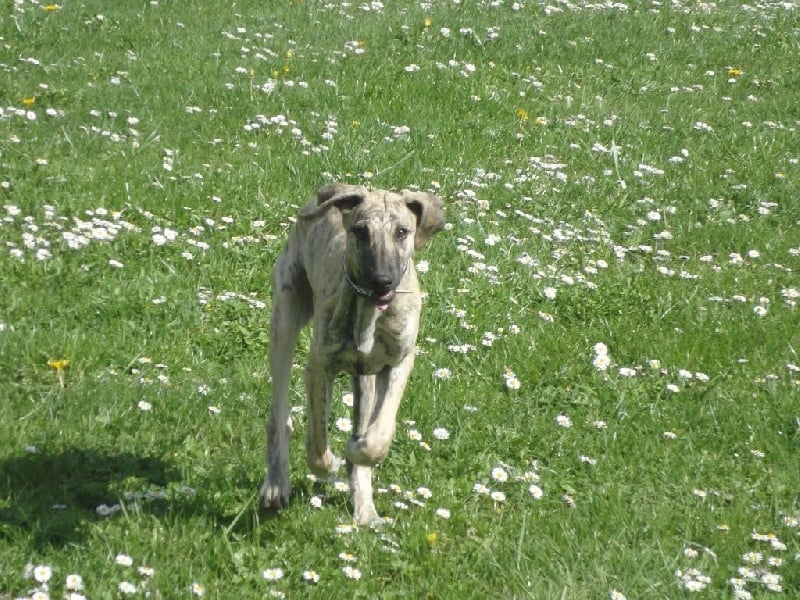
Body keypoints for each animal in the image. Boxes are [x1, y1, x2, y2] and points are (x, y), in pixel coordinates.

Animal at [260, 183, 444, 524]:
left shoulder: (399, 362)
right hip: (285, 316)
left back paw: (365, 507)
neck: (369, 310)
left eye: (402, 231)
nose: (382, 281)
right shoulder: (319, 368)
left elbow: (378, 433)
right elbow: (317, 444)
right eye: (360, 231)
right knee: (279, 416)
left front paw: (359, 452)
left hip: (366, 377)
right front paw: (330, 462)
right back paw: (276, 485)